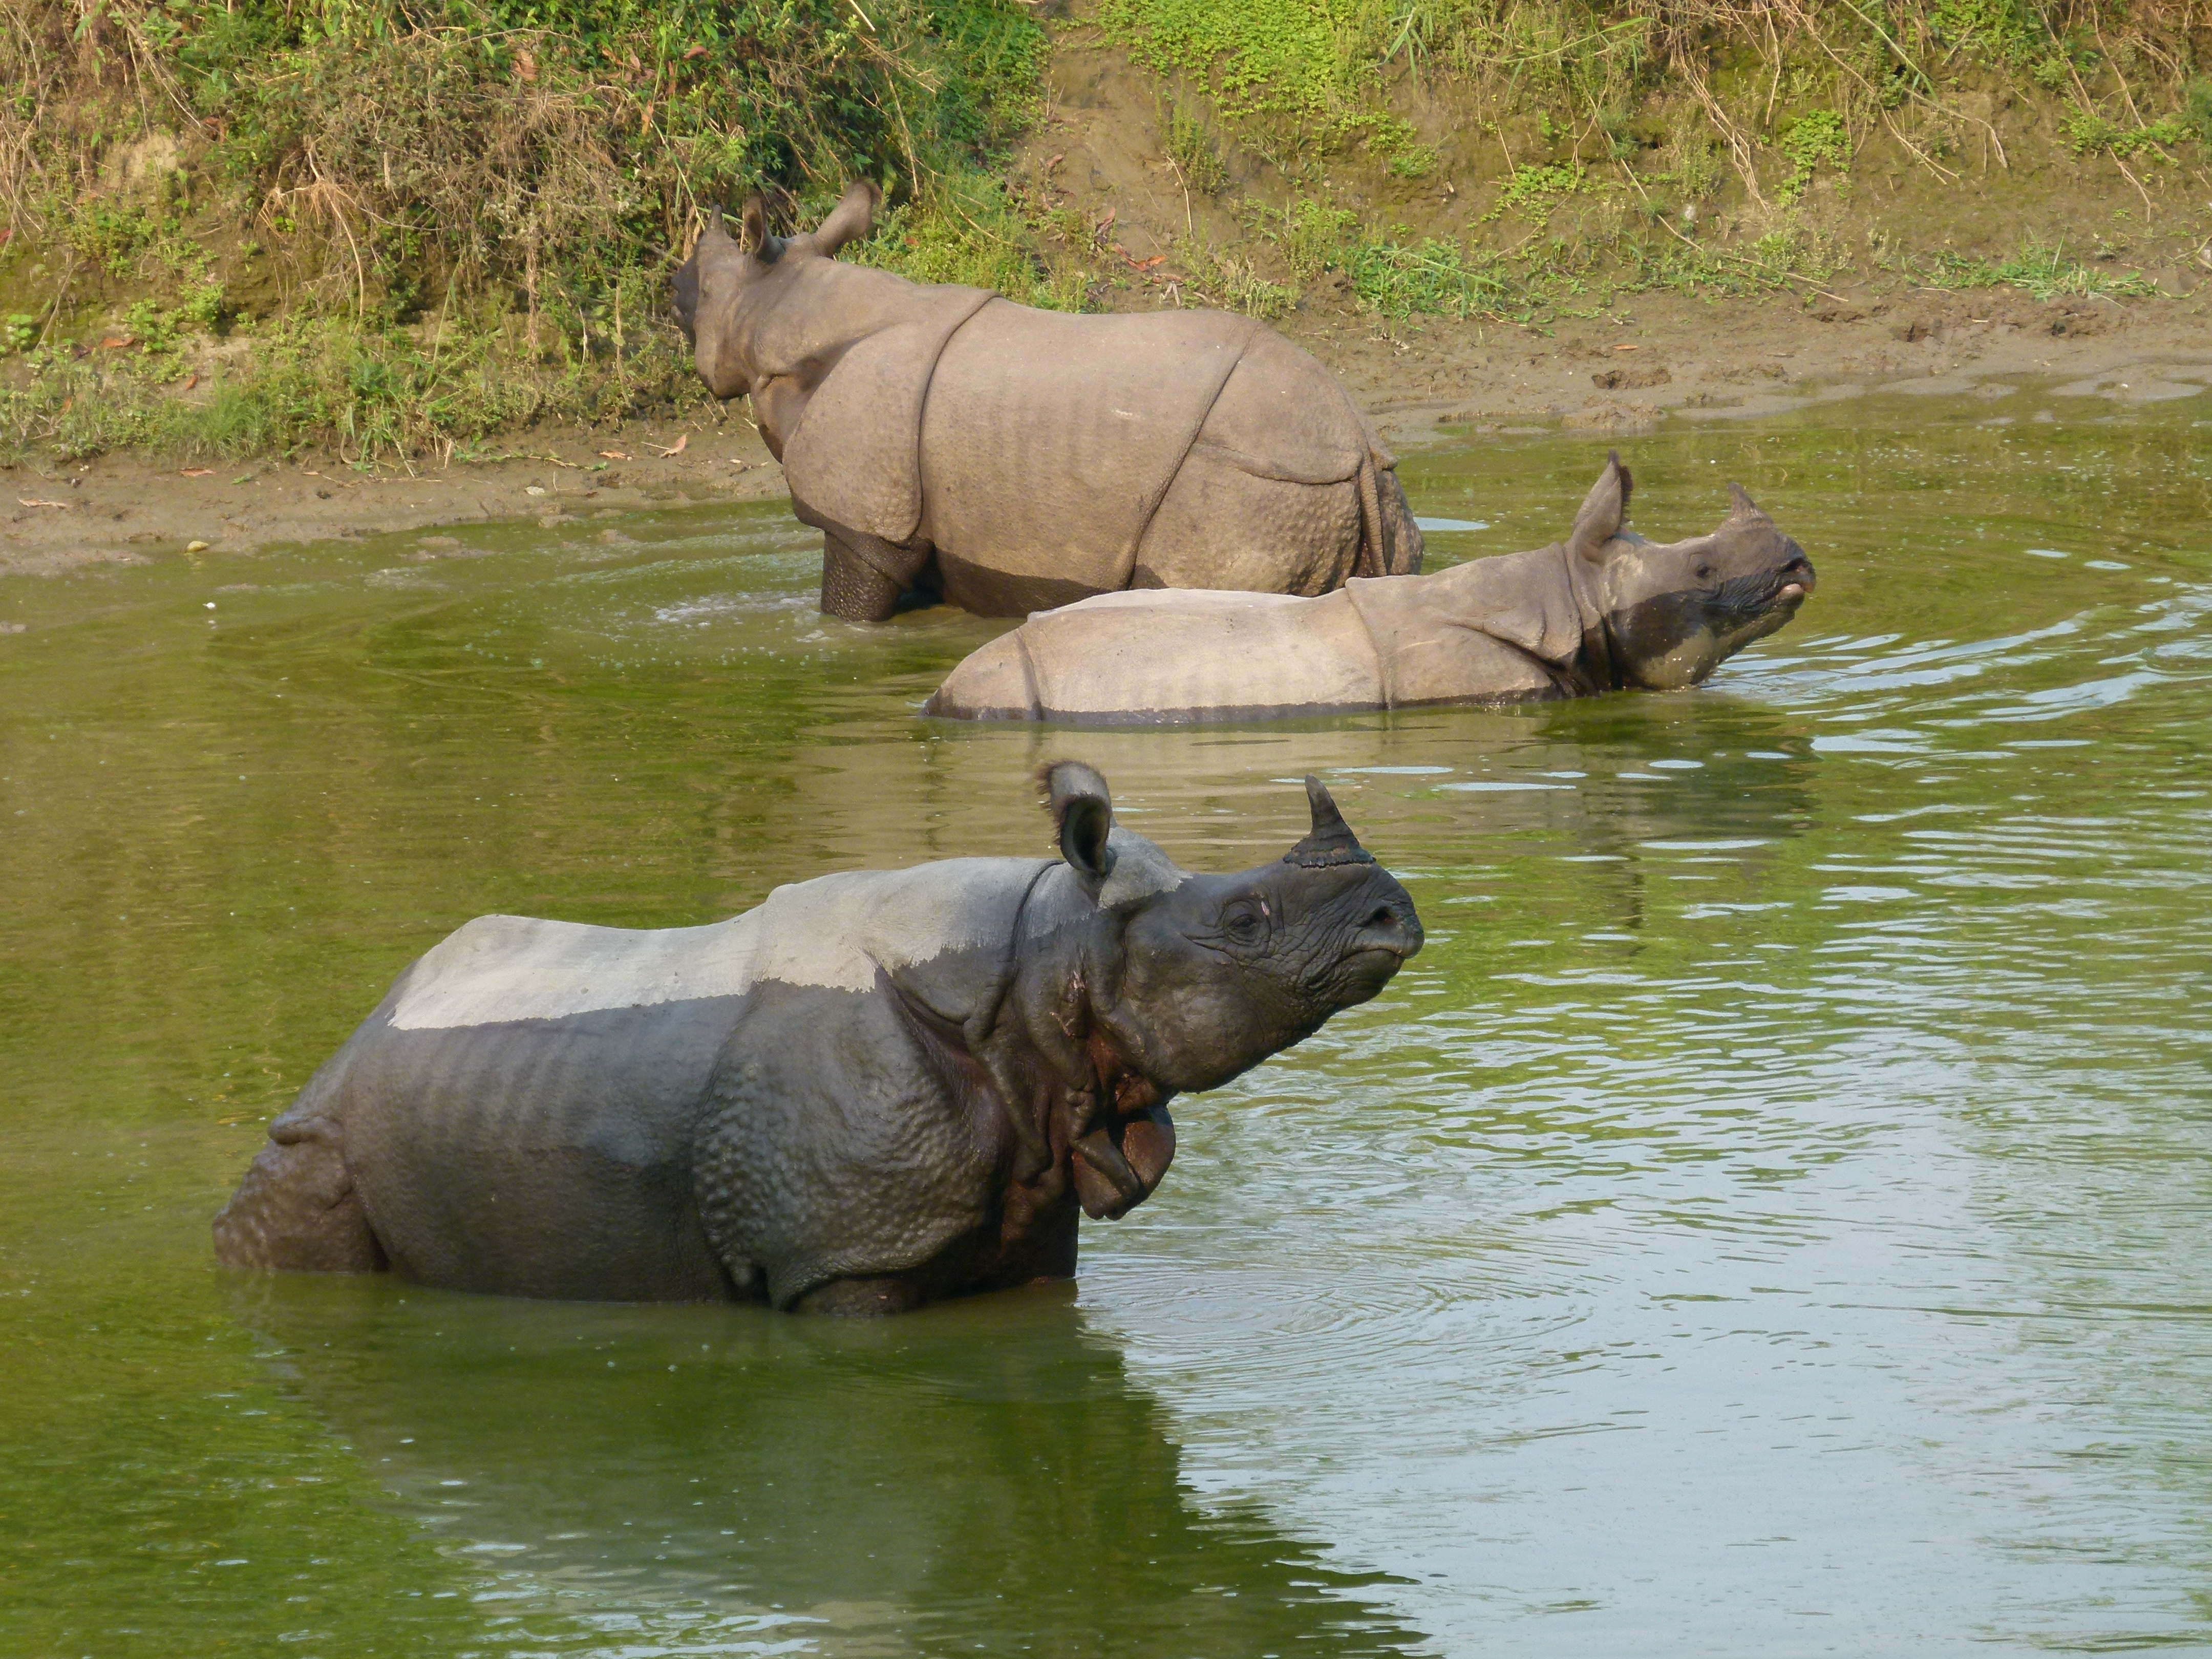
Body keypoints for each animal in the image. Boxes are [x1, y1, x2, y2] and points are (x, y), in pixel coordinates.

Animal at [216, 765, 1424, 1309]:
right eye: (1246, 922)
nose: (1393, 917)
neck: (1052, 953)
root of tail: (354, 1036)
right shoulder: (846, 1259)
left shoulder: (1038, 1195)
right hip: (324, 1134)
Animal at [672, 181, 1424, 624]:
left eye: (705, 290)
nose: (673, 286)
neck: (783, 317)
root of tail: (1352, 442)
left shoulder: (867, 522)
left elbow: (848, 609)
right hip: (1347, 482)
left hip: (1254, 480)